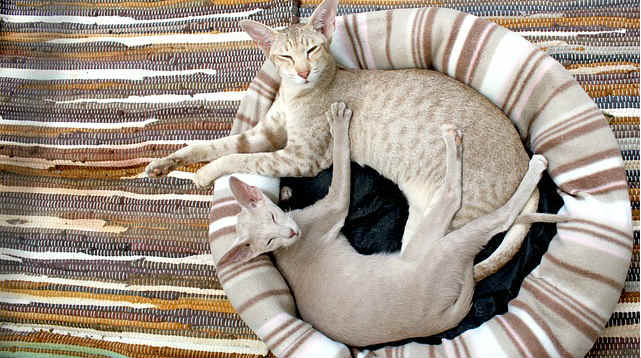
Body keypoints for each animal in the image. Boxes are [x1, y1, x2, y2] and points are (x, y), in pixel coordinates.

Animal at [145, 0, 528, 268]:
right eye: (285, 56)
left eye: (312, 50)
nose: (302, 72)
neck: (295, 95)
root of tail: (525, 158)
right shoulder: (267, 133)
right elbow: (216, 145)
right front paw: (167, 163)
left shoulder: (300, 158)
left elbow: (241, 158)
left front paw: (206, 174)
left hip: (436, 220)